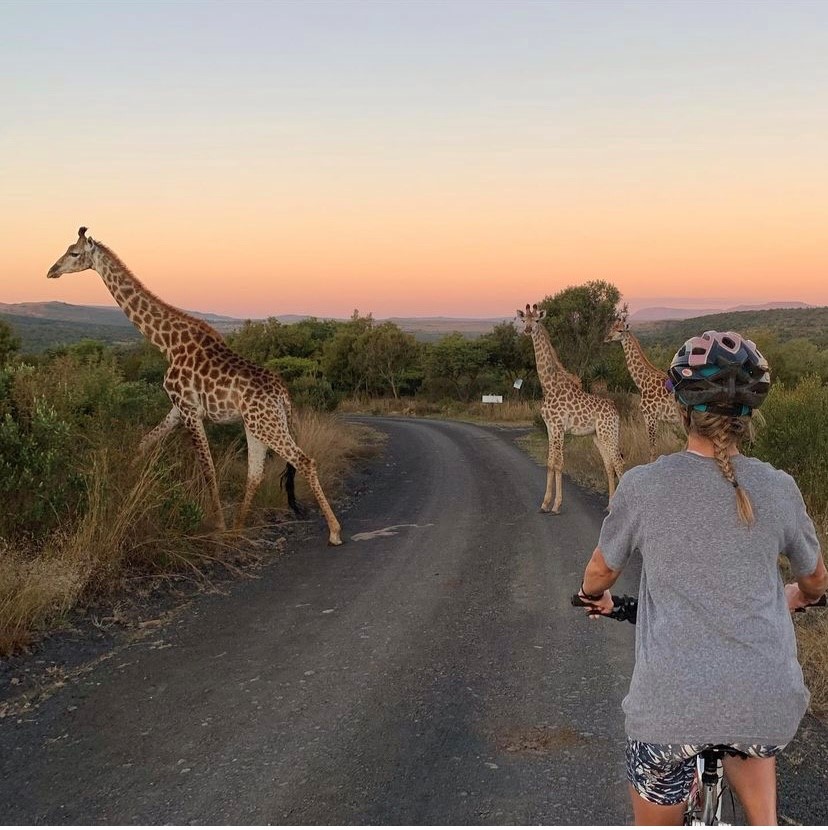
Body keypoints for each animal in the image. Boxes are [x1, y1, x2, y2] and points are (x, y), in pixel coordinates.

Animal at [47, 228, 342, 545]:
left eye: (74, 253)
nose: (52, 271)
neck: (167, 344)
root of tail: (283, 395)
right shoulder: (177, 408)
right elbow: (145, 443)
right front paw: (126, 480)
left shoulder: (190, 410)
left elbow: (207, 468)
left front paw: (218, 525)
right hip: (257, 424)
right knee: (255, 472)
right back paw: (239, 528)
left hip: (266, 424)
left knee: (305, 461)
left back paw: (333, 531)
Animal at [518, 303, 624, 513]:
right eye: (524, 319)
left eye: (537, 320)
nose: (527, 330)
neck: (549, 385)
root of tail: (615, 412)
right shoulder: (550, 427)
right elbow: (550, 463)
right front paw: (544, 504)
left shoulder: (559, 427)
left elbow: (559, 464)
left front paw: (556, 505)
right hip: (599, 435)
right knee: (609, 464)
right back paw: (609, 505)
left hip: (608, 433)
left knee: (618, 462)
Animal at [605, 308, 681, 461]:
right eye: (611, 328)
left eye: (620, 330)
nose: (607, 338)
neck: (643, 382)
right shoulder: (656, 418)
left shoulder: (650, 416)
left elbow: (652, 447)